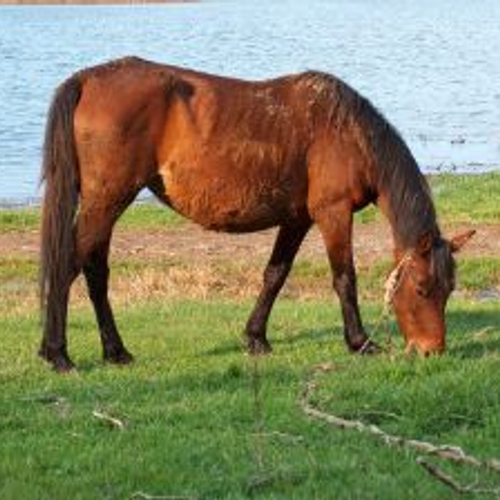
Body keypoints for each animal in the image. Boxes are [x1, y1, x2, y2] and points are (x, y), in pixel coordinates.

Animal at [39, 57, 472, 372]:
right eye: (421, 289)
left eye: (450, 288)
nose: (432, 350)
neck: (347, 133)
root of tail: (88, 79)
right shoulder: (332, 213)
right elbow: (344, 278)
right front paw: (359, 342)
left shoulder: (297, 219)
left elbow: (274, 275)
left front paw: (256, 338)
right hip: (107, 202)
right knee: (69, 265)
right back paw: (57, 353)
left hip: (106, 205)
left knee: (94, 271)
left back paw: (115, 351)